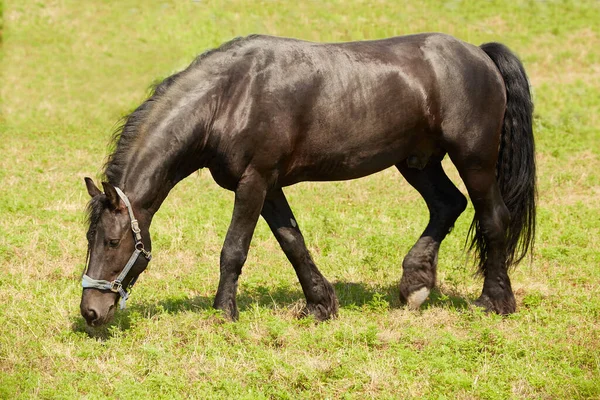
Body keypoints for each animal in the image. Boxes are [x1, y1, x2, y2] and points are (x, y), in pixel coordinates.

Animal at [79, 34, 536, 326]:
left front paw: (224, 313)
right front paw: (320, 305)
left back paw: (494, 302)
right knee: (447, 205)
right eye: (90, 239)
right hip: (417, 162)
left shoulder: (254, 182)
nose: (91, 312)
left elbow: (234, 250)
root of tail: (479, 54)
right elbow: (292, 243)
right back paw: (415, 285)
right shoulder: (268, 186)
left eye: (113, 241)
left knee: (493, 218)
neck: (228, 97)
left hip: (474, 160)